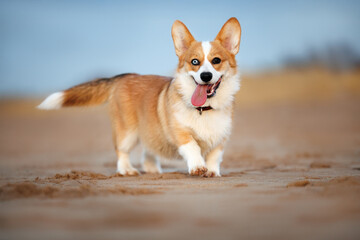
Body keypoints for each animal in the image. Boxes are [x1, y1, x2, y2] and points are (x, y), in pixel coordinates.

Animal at [38, 17, 242, 177]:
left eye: (216, 60)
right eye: (194, 62)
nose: (205, 76)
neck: (204, 109)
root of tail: (123, 77)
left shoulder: (220, 139)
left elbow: (214, 157)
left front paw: (212, 172)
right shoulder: (180, 132)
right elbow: (193, 147)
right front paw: (198, 167)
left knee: (149, 149)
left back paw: (152, 169)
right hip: (127, 132)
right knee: (121, 151)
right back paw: (127, 170)